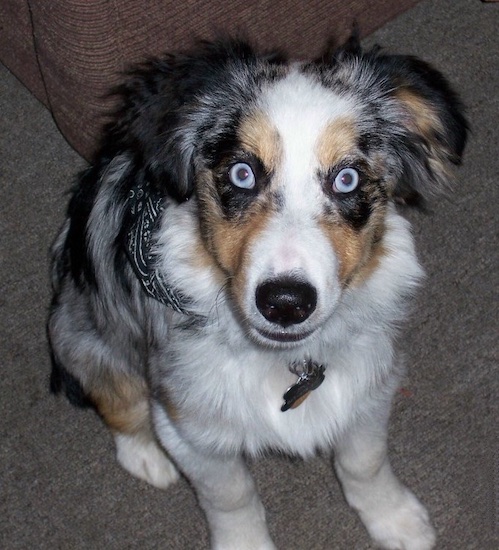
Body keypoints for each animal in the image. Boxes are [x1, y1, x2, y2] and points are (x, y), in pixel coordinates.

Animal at [48, 36, 466, 548]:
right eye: (242, 173)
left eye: (346, 179)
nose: (285, 303)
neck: (284, 362)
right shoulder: (190, 424)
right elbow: (232, 497)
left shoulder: (370, 380)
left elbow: (364, 461)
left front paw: (396, 520)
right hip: (83, 337)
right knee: (118, 401)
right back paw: (149, 458)